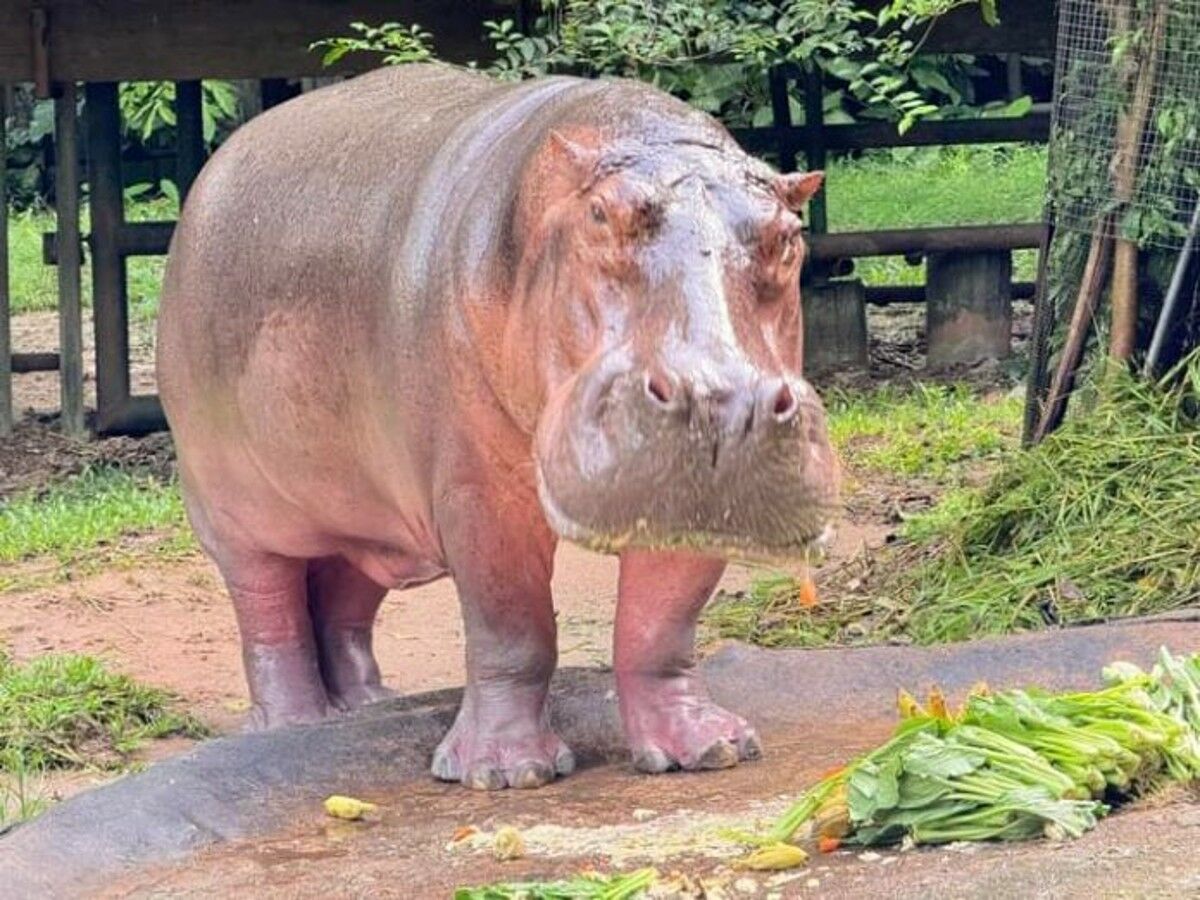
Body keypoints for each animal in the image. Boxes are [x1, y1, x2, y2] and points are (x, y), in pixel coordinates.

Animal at [157, 61, 835, 787]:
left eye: (789, 236)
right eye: (600, 215)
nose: (724, 403)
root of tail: (217, 166)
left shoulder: (690, 504)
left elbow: (663, 628)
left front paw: (710, 748)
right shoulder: (475, 491)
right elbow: (512, 626)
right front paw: (507, 773)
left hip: (369, 507)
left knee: (342, 597)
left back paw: (365, 706)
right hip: (231, 508)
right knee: (269, 610)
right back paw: (295, 723)